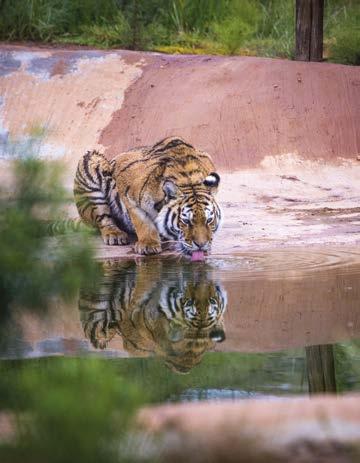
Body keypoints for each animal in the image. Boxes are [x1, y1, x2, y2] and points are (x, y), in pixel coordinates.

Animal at [72, 137, 222, 258]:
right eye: (186, 221)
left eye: (209, 220)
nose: (201, 245)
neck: (189, 180)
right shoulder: (127, 190)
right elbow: (142, 221)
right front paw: (148, 244)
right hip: (91, 161)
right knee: (103, 218)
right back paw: (115, 235)